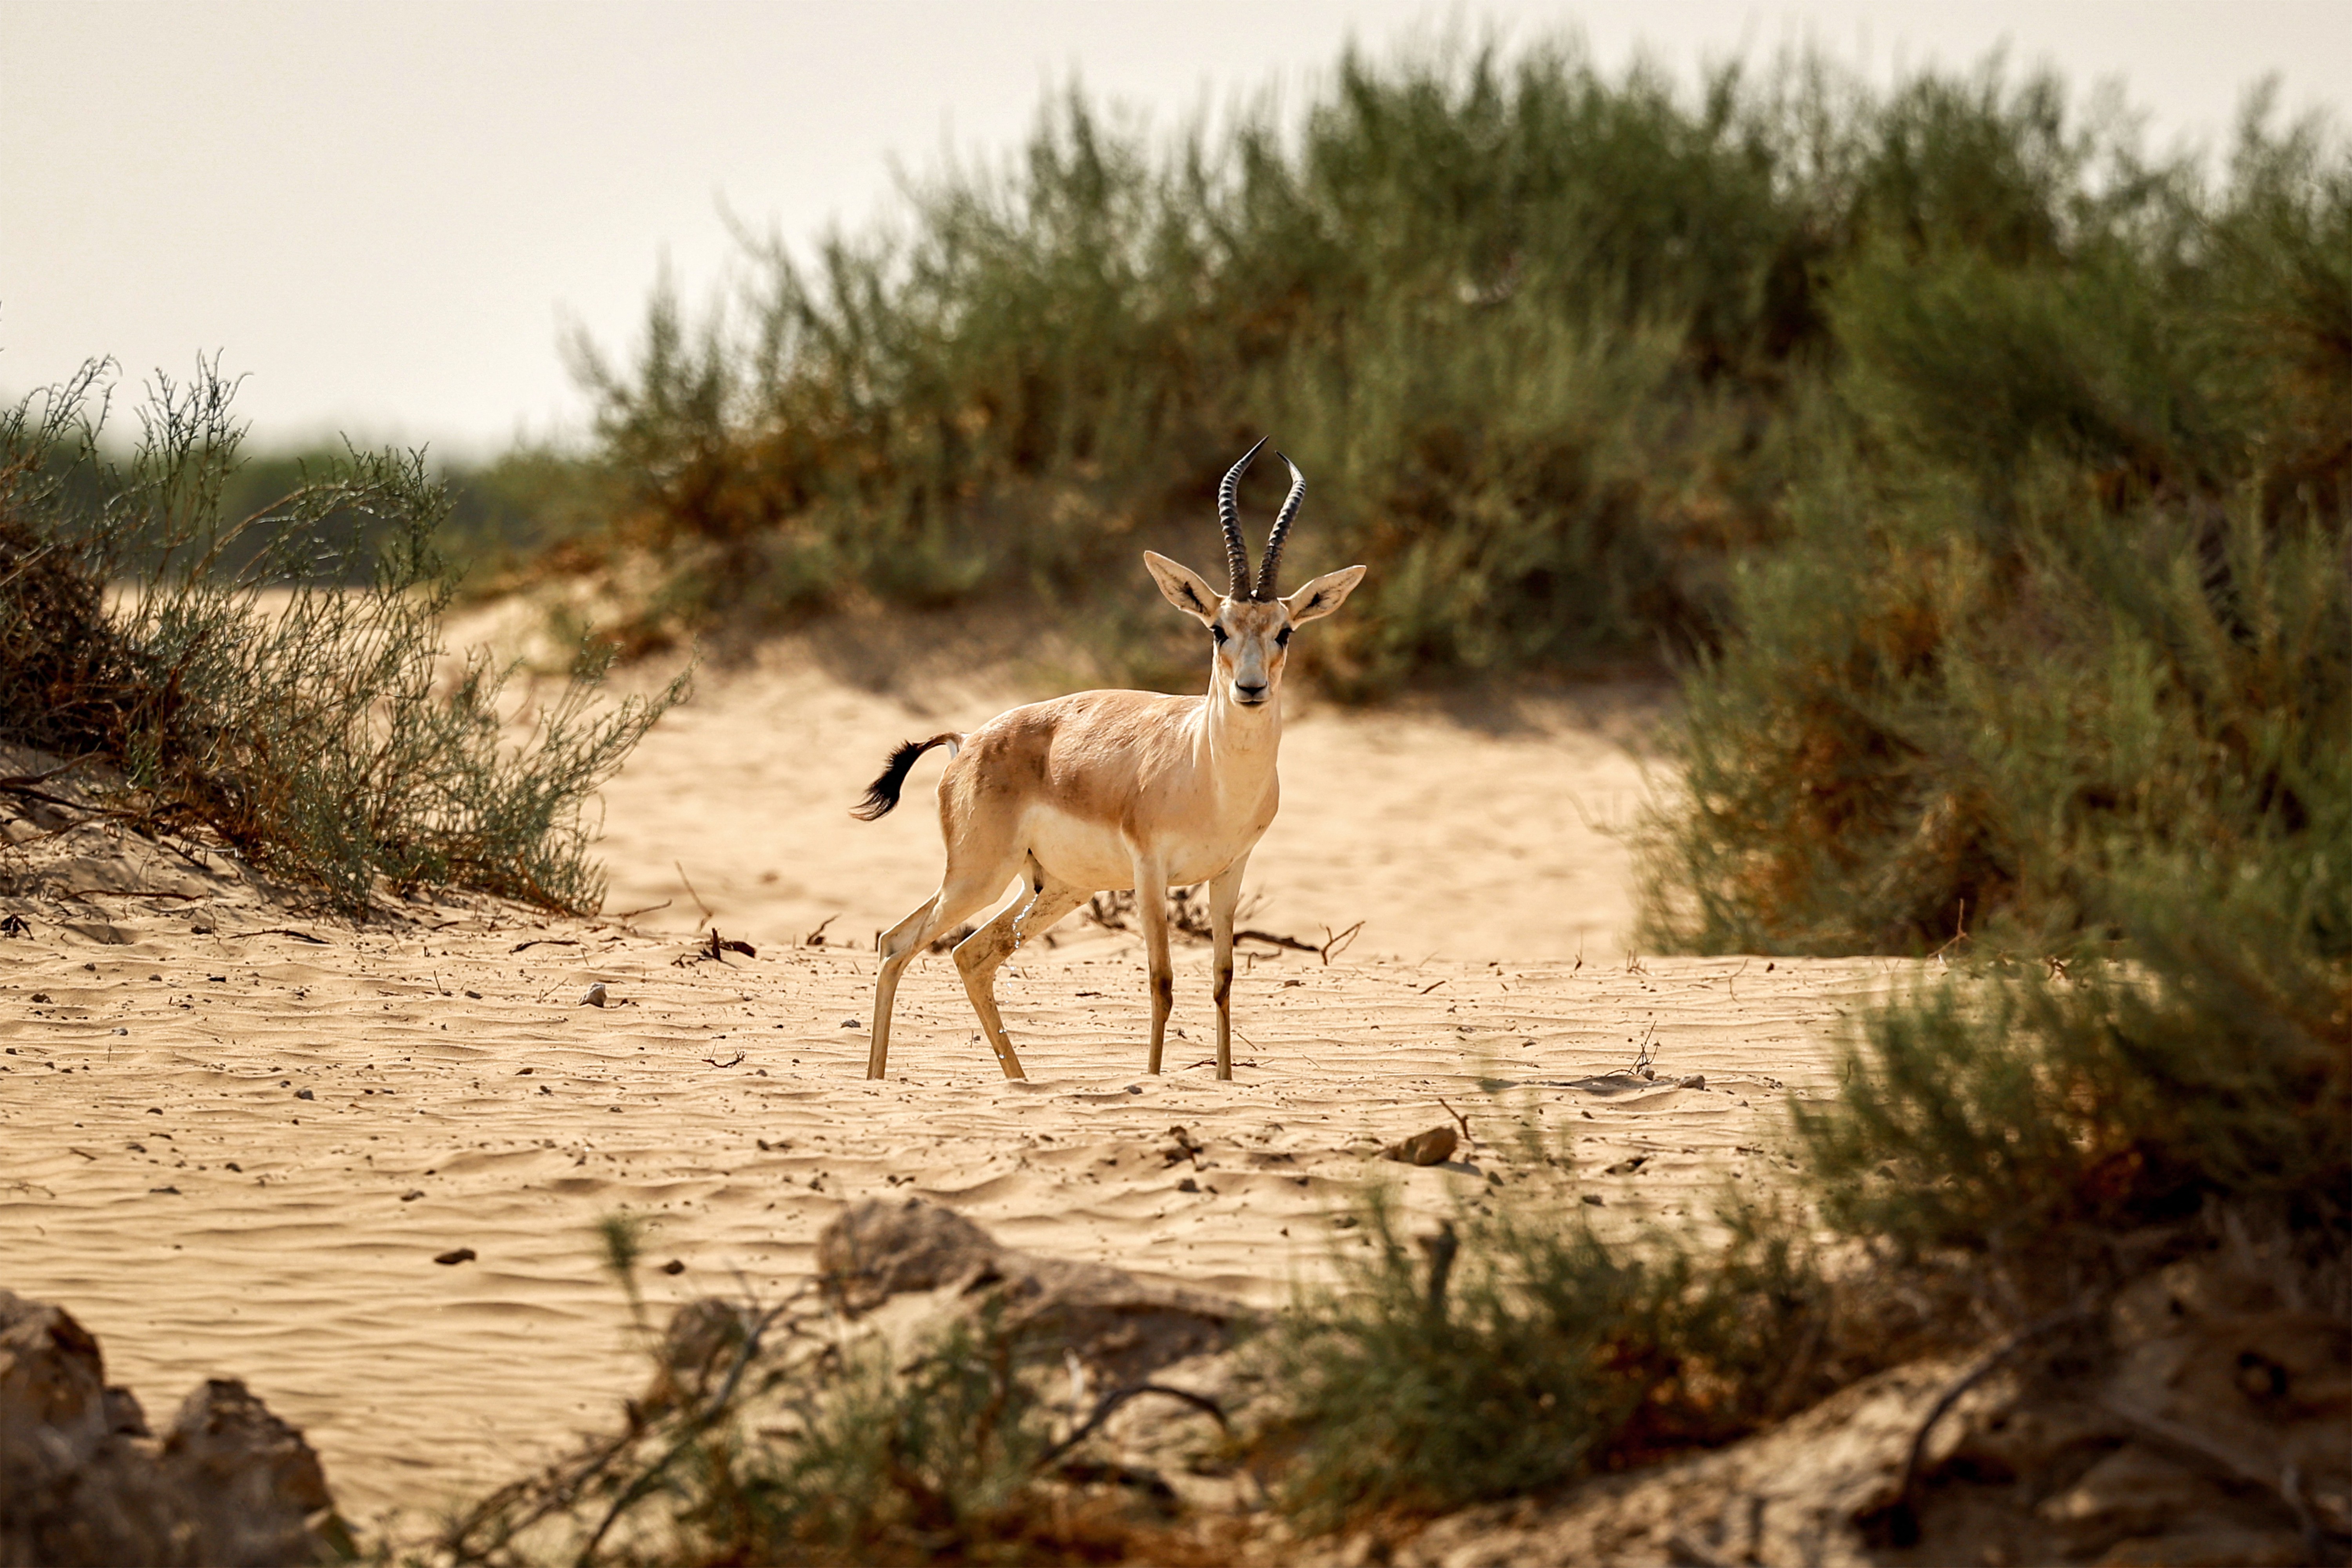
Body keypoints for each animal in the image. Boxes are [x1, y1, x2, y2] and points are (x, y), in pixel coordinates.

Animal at [851, 440, 1365, 1082]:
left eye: (1286, 632)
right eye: (1218, 629)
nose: (1250, 689)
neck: (1210, 774)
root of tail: (967, 741)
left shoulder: (1230, 871)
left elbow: (1222, 981)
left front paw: (1223, 1082)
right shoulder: (1150, 871)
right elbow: (1162, 982)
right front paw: (1153, 1080)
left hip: (1053, 887)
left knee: (972, 954)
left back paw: (1021, 1082)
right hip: (978, 876)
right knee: (897, 944)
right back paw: (878, 1082)